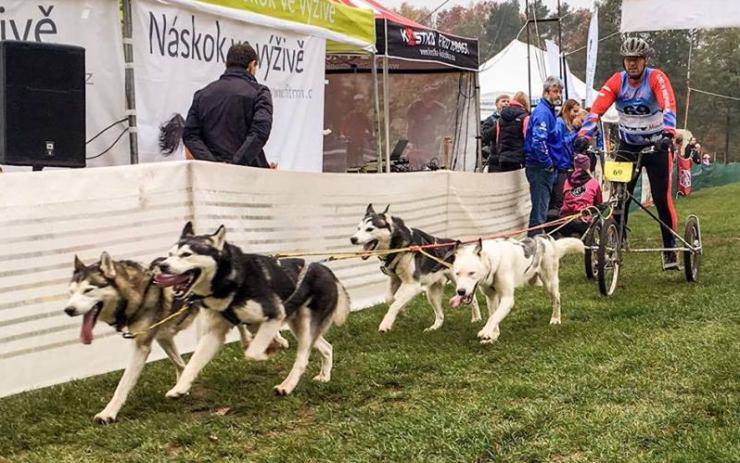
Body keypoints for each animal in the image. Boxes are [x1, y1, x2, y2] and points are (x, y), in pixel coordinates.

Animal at [155, 223, 352, 396]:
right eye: (169, 254)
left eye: (186, 254)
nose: (163, 265)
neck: (229, 282)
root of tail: (326, 270)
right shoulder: (215, 333)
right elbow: (193, 363)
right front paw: (179, 388)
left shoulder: (274, 315)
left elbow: (252, 352)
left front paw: (271, 349)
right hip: (299, 326)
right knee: (326, 347)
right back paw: (324, 376)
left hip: (305, 324)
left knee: (302, 359)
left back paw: (286, 386)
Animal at [350, 205, 482, 332]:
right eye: (358, 228)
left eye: (369, 229)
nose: (352, 239)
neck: (398, 247)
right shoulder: (395, 279)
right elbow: (390, 299)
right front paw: (402, 311)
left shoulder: (412, 286)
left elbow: (395, 304)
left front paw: (386, 324)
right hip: (432, 293)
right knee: (440, 315)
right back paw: (434, 328)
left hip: (460, 284)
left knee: (473, 299)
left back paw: (477, 318)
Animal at [450, 239, 584, 344]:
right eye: (457, 273)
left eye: (471, 273)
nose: (460, 291)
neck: (494, 262)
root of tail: (545, 239)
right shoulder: (491, 297)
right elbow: (493, 315)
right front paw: (493, 336)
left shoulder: (507, 298)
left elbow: (494, 317)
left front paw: (486, 331)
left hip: (550, 283)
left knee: (556, 299)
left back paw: (555, 319)